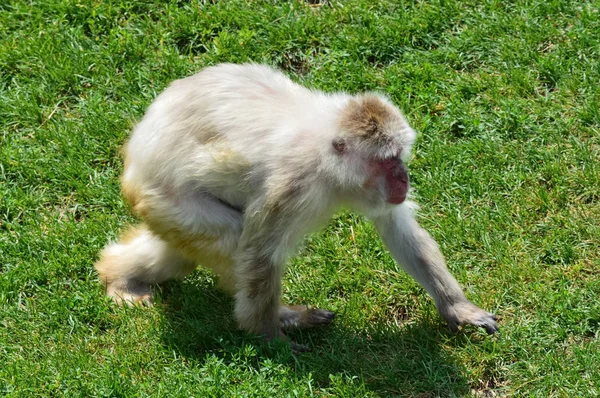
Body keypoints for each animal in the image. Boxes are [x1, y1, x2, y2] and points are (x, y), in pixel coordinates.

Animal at [92, 63, 496, 346]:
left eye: (399, 156)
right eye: (386, 161)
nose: (403, 178)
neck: (327, 161)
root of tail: (134, 155)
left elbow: (399, 230)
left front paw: (457, 308)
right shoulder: (291, 188)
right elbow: (259, 254)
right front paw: (268, 337)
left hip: (164, 211)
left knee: (180, 252)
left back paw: (117, 274)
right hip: (167, 198)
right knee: (233, 239)